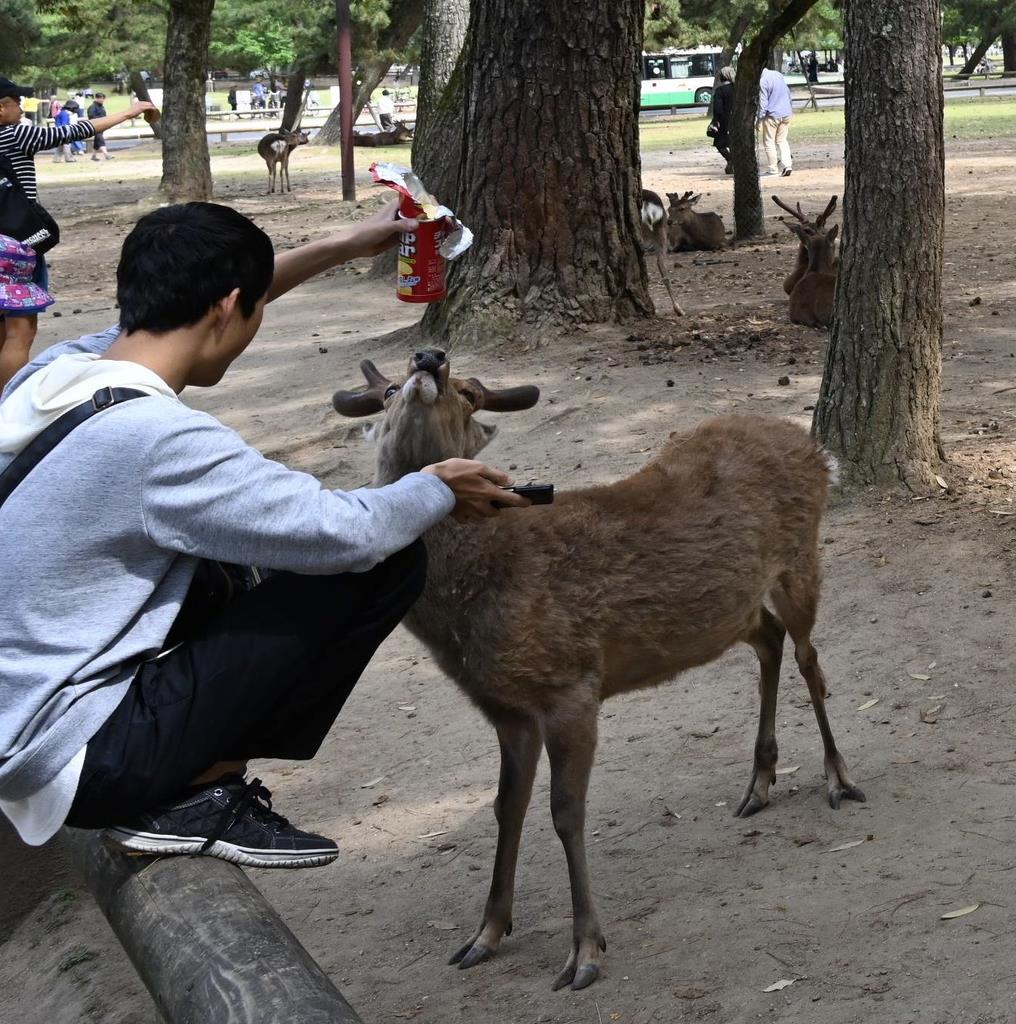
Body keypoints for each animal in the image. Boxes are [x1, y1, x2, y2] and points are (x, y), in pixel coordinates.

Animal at [331, 346, 864, 991]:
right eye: (385, 395)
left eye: (469, 394)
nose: (429, 359)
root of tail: (818, 450)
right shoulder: (504, 709)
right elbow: (505, 807)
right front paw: (484, 935)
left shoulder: (572, 685)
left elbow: (566, 812)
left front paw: (585, 950)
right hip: (737, 607)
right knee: (770, 637)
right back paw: (759, 783)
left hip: (801, 556)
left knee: (811, 658)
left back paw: (838, 778)